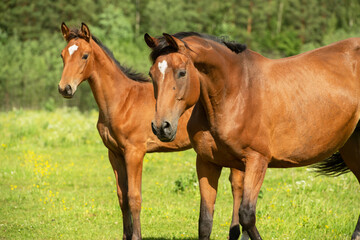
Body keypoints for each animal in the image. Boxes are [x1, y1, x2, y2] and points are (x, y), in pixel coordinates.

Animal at [57, 23, 243, 240]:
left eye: (85, 56)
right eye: (62, 54)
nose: (65, 88)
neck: (122, 100)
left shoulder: (135, 152)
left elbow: (134, 197)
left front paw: (136, 236)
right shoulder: (114, 154)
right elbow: (122, 197)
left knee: (237, 186)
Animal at [145, 32, 360, 240]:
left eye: (181, 72)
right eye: (151, 73)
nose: (161, 127)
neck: (237, 93)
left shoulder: (257, 161)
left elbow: (247, 215)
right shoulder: (207, 162)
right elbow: (205, 221)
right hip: (351, 148)